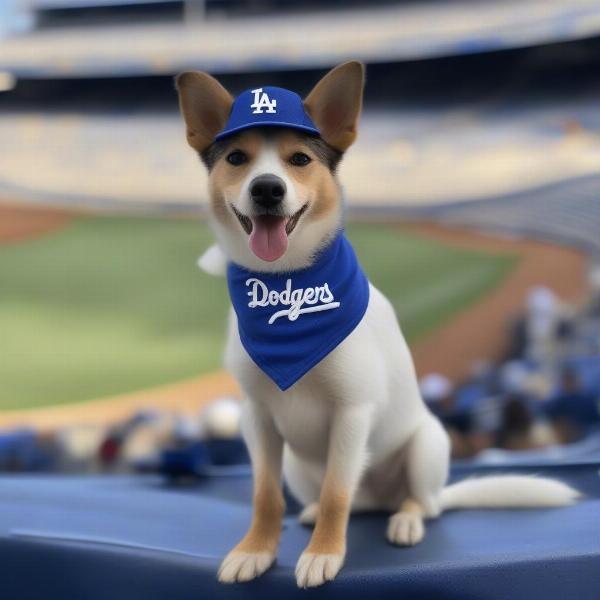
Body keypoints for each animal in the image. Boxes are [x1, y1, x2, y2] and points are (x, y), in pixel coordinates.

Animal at [176, 62, 580, 592]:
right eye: (237, 158)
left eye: (300, 159)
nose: (267, 188)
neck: (287, 287)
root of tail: (380, 500)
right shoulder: (257, 417)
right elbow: (266, 494)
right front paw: (255, 550)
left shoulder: (352, 411)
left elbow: (336, 494)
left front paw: (324, 553)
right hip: (300, 465)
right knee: (345, 498)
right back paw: (317, 514)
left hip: (427, 445)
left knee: (421, 504)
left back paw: (404, 518)